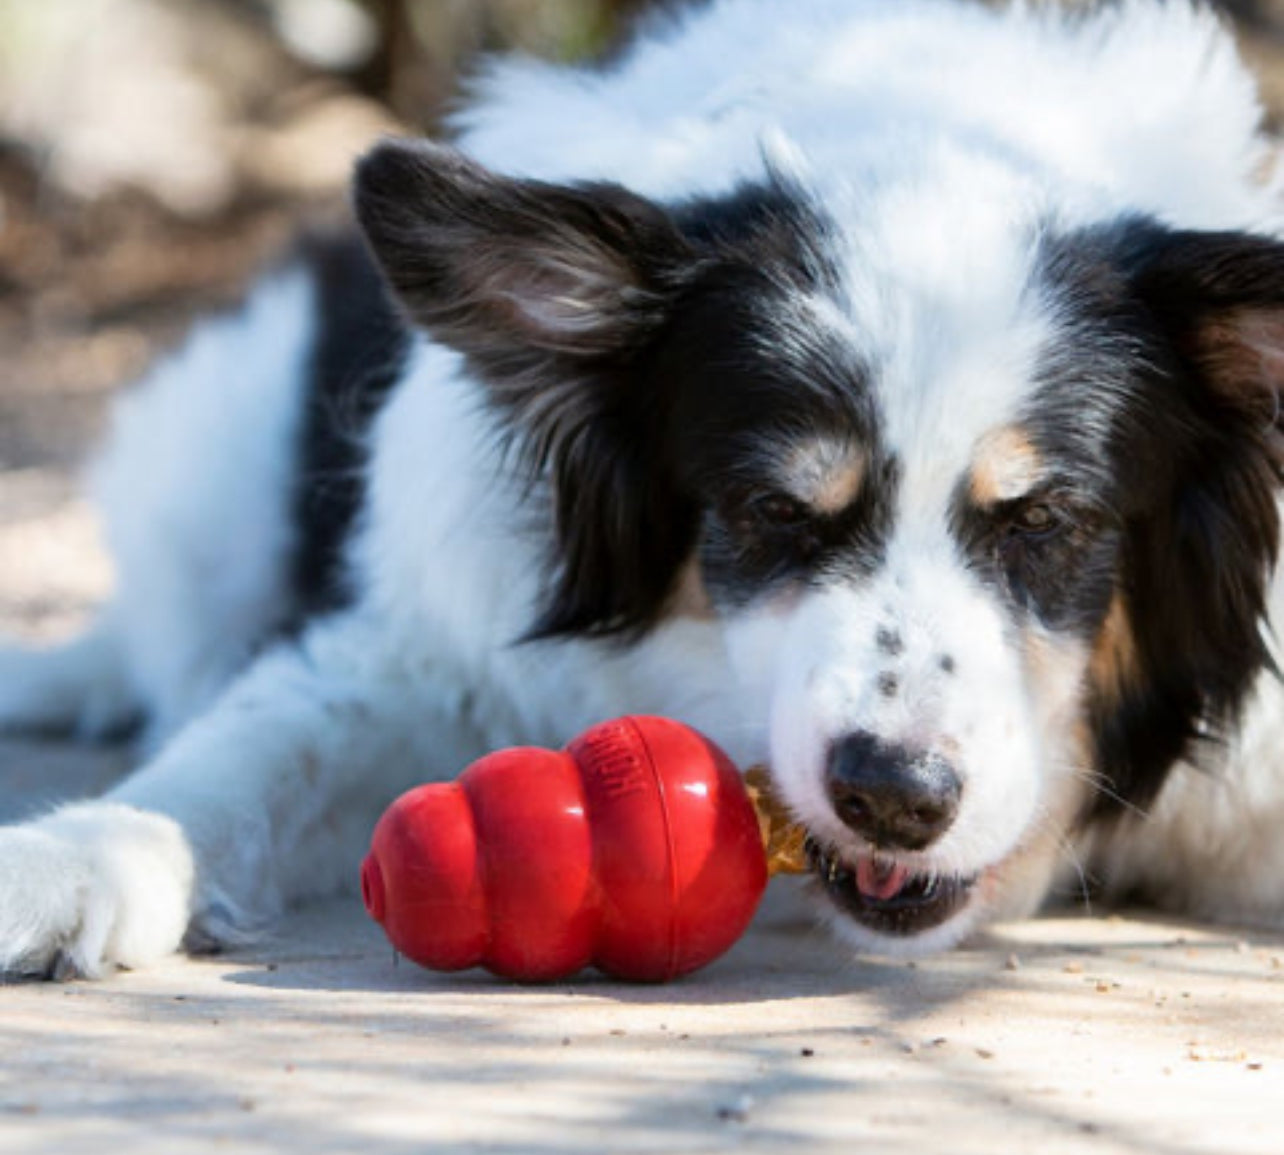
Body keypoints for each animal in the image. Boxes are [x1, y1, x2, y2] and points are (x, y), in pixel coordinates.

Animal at [2, 0, 1284, 980]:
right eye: (773, 512)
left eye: (1048, 522)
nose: (895, 799)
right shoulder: (431, 653)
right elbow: (248, 753)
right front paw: (78, 856)